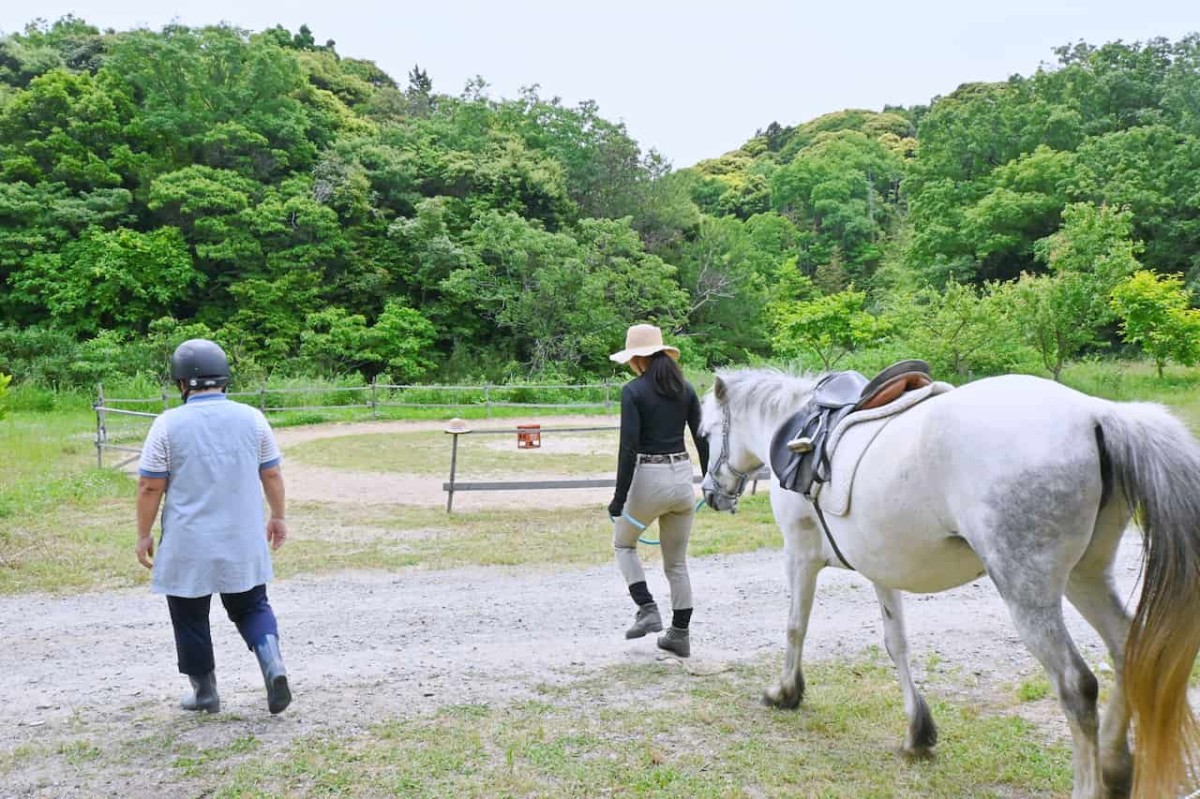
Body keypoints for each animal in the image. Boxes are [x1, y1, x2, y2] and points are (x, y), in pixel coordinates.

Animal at [700, 367, 1195, 796]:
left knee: (1077, 685)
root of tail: (1095, 413)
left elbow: (794, 627)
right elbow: (896, 642)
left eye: (704, 434)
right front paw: (917, 732)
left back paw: (1091, 782)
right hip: (1085, 577)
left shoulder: (800, 555)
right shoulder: (882, 567)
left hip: (1028, 593)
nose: (710, 493)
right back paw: (1114, 767)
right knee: (1128, 651)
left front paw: (785, 692)